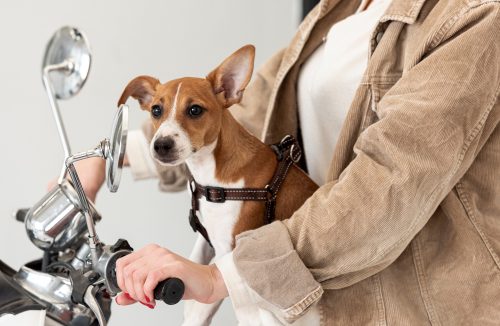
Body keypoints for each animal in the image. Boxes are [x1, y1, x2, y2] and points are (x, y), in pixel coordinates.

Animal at [119, 45, 318, 326]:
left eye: (194, 110)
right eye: (156, 110)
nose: (161, 145)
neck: (211, 175)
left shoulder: (228, 248)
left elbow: (205, 303)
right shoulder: (208, 237)